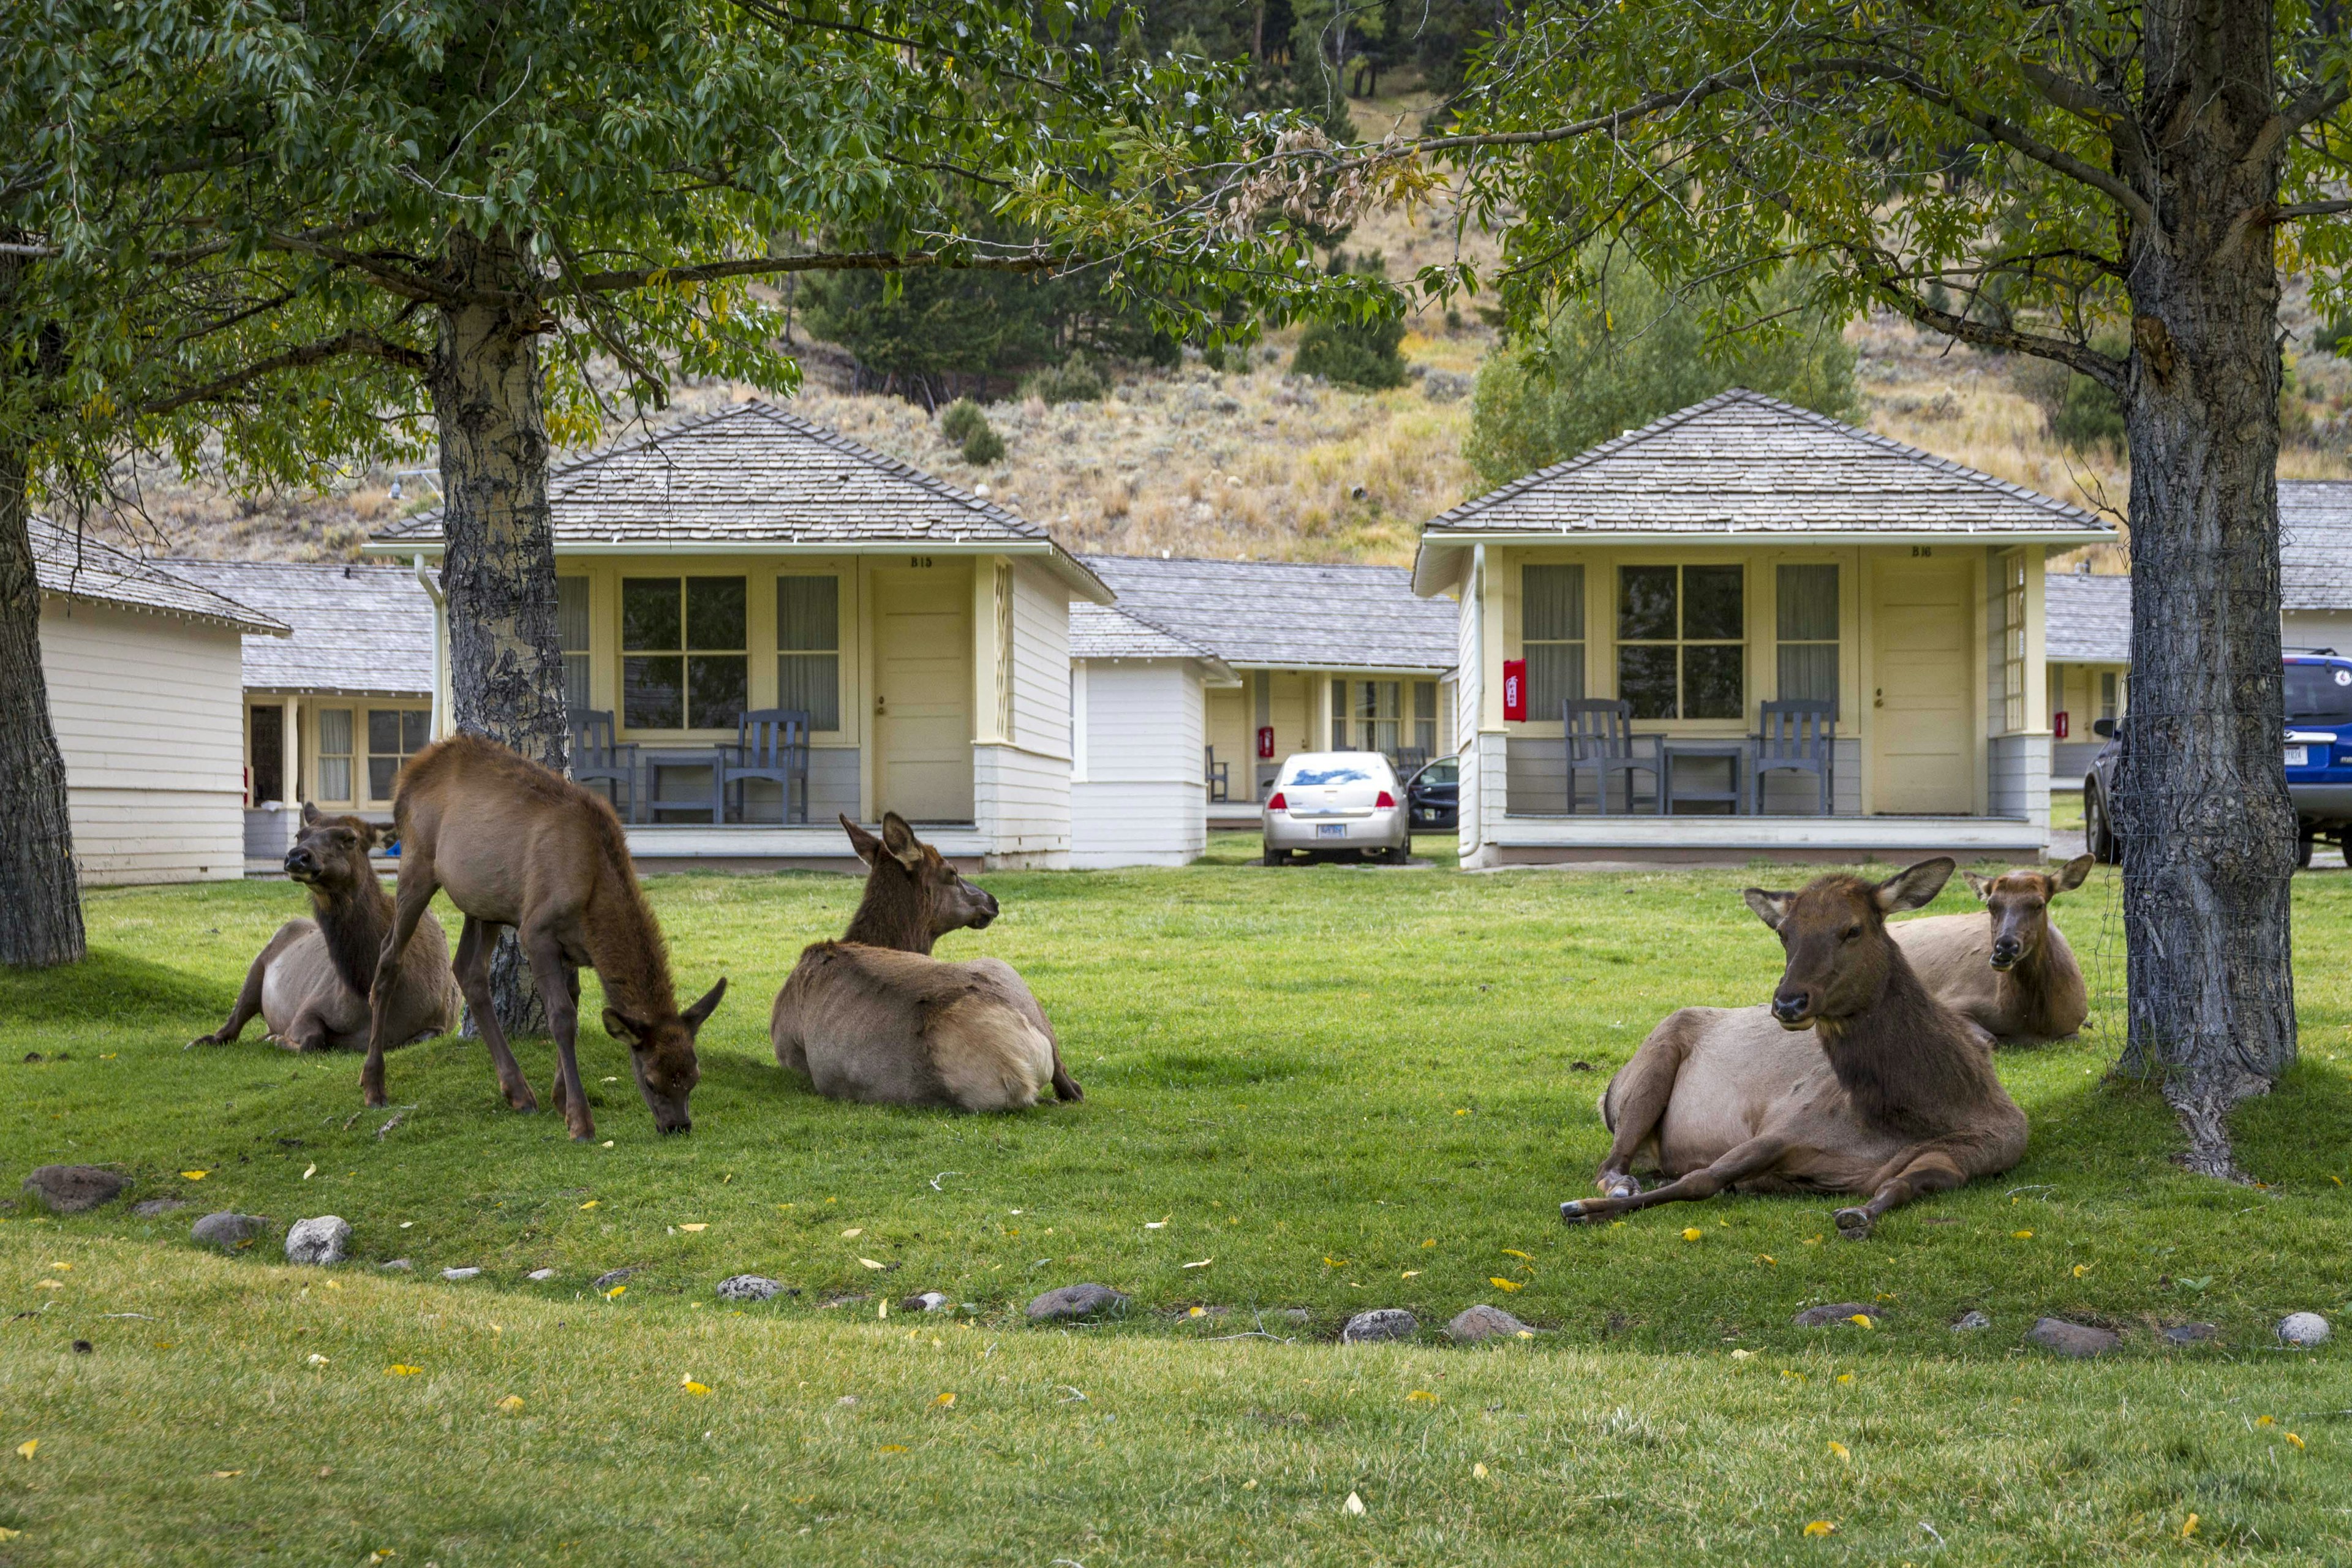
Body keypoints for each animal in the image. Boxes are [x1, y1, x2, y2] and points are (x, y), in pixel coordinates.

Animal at [189, 809, 458, 1053]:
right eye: (300, 834)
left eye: (350, 838)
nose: (297, 857)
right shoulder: (310, 1006)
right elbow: (312, 1040)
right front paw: (279, 1039)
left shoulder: (439, 1023)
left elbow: (422, 1037)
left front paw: (275, 1038)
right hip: (257, 965)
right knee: (233, 1022)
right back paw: (203, 1040)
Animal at [357, 738, 720, 1142]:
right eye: (651, 1080)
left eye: (693, 1078)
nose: (678, 1126)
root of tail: (407, 779)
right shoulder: (537, 930)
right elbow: (562, 1016)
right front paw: (579, 1120)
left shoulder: (574, 949)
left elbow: (573, 1002)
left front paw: (560, 1098)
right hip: (418, 864)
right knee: (389, 957)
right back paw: (373, 1085)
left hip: (485, 902)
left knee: (468, 969)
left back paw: (517, 1092)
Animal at [1561, 860, 2022, 1241]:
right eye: (1784, 933)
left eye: (1853, 929)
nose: (1788, 1003)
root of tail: (1607, 1092)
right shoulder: (1783, 1126)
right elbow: (1701, 1179)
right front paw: (1584, 1209)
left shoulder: (1970, 1154)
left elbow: (1899, 1184)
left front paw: (1857, 1216)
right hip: (1650, 1064)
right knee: (1611, 1163)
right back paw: (1619, 1187)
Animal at [1891, 860, 2098, 1044]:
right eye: (1990, 905)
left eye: (2039, 905)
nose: (2005, 947)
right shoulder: (1953, 999)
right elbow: (1989, 1038)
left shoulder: (2072, 1025)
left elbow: (2073, 1037)